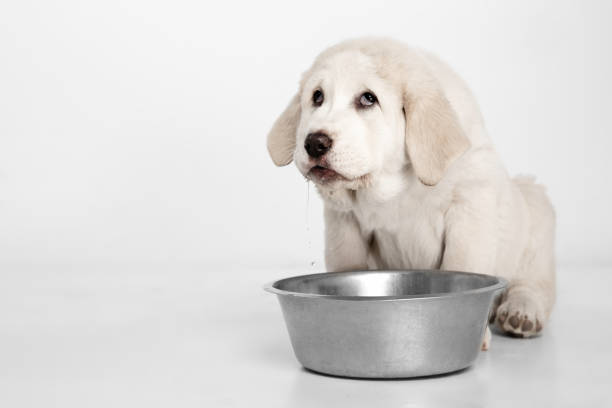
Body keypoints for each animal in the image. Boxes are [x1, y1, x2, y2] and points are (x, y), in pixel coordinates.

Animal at [266, 38, 556, 346]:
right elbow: (347, 262)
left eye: (368, 99)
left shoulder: (469, 206)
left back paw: (522, 312)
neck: (393, 188)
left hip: (535, 214)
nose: (314, 143)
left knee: (533, 284)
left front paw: (479, 335)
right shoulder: (343, 222)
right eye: (317, 97)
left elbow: (463, 260)